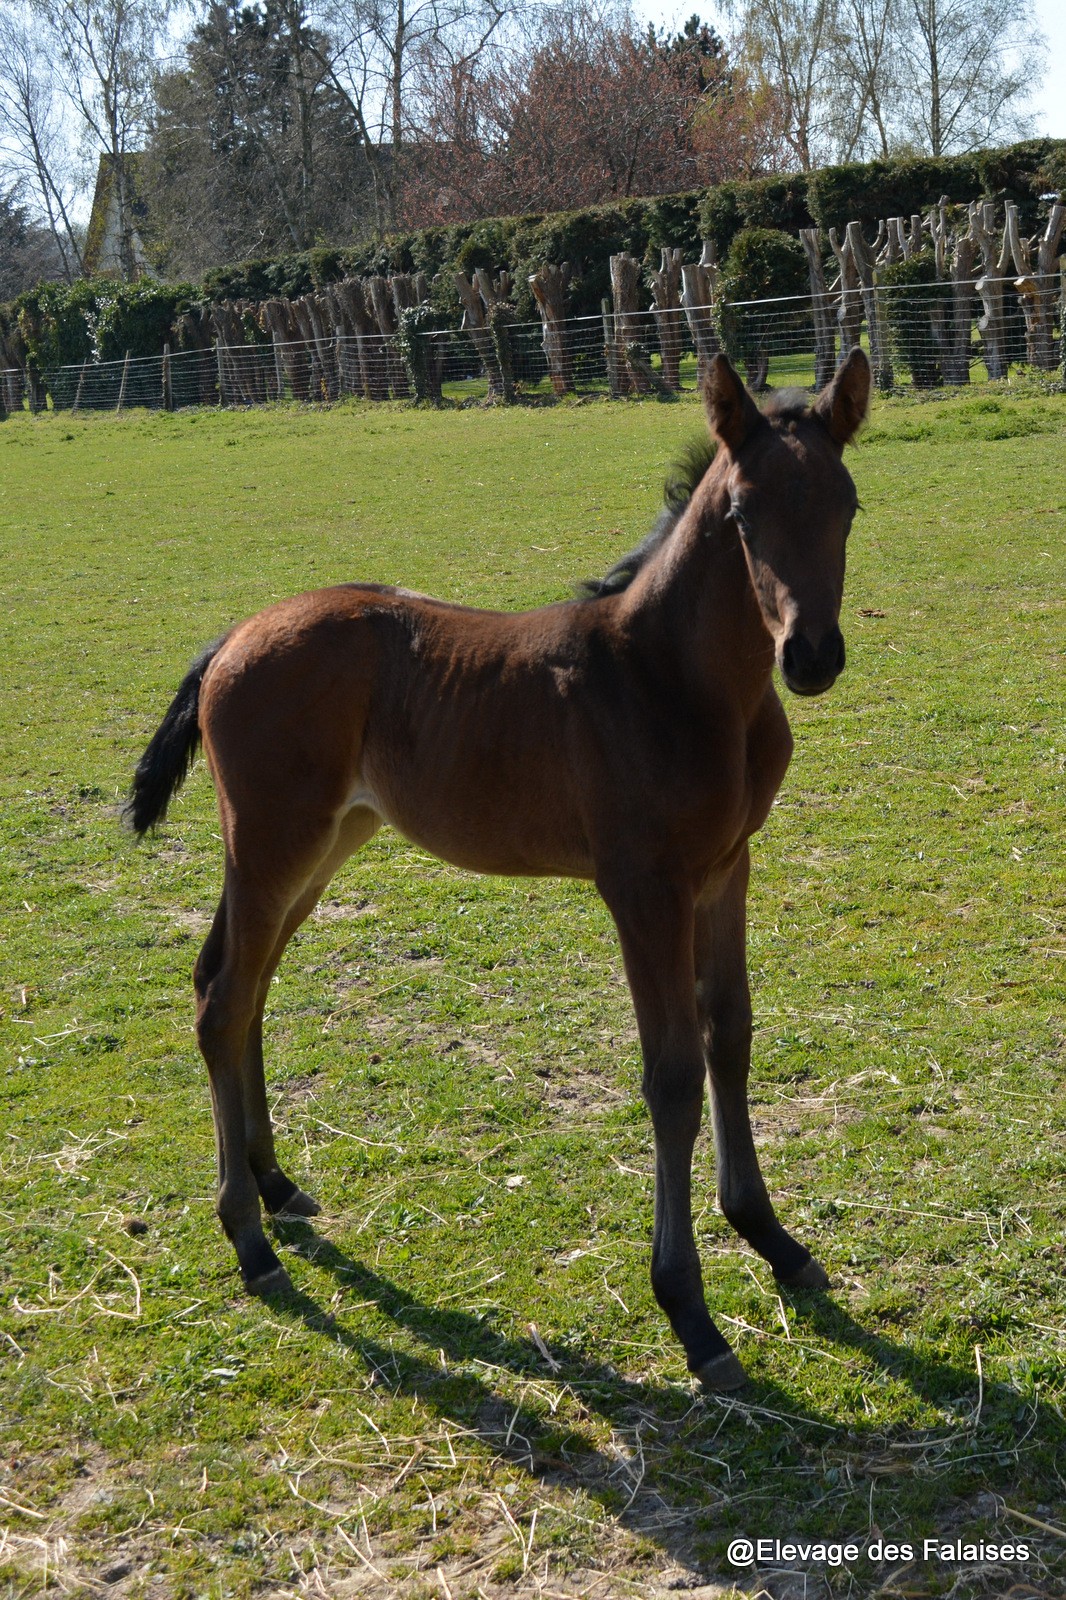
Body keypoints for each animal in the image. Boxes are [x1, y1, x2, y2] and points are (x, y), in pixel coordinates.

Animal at [128, 350, 870, 1388]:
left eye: (847, 505)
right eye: (742, 516)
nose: (810, 656)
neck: (677, 683)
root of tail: (234, 635)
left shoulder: (728, 870)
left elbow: (731, 1038)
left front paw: (772, 1239)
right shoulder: (642, 888)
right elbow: (673, 1075)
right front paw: (690, 1312)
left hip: (327, 841)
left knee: (247, 984)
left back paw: (276, 1186)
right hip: (273, 838)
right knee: (223, 997)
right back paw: (248, 1237)